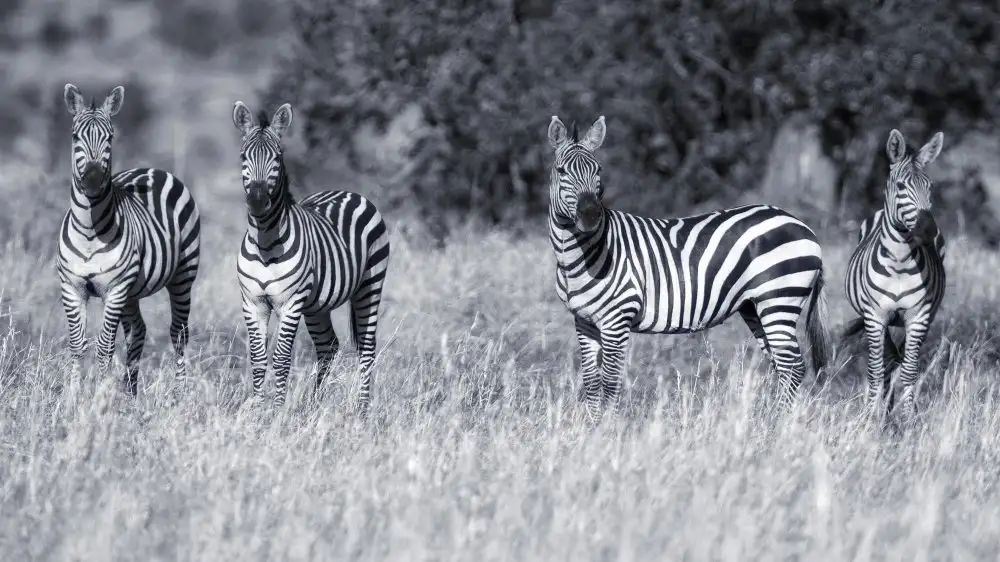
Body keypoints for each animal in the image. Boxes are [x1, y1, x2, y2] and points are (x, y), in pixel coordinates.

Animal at [58, 83, 201, 395]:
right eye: (75, 136)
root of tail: (153, 169)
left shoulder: (115, 290)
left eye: (110, 137)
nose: (93, 177)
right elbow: (77, 346)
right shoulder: (72, 288)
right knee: (139, 331)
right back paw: (130, 392)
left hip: (182, 276)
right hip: (132, 292)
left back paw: (179, 395)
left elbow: (104, 348)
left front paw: (96, 396)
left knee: (179, 333)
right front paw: (72, 397)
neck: (89, 231)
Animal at [232, 101, 391, 412]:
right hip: (318, 306)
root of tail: (348, 192)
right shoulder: (252, 302)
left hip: (370, 285)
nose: (257, 201)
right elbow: (258, 359)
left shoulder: (291, 303)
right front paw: (256, 409)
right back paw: (315, 405)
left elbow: (281, 358)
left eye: (278, 158)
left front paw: (276, 411)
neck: (265, 242)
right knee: (328, 346)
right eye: (244, 156)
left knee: (367, 348)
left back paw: (362, 410)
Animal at [546, 115, 831, 423]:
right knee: (783, 365)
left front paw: (608, 427)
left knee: (793, 365)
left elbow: (609, 381)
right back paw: (772, 421)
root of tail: (801, 225)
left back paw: (777, 424)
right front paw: (592, 426)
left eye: (598, 170)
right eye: (561, 171)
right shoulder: (584, 321)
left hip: (779, 299)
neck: (580, 256)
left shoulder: (617, 318)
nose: (590, 216)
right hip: (755, 307)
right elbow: (590, 380)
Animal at [843, 129, 945, 421]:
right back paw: (884, 413)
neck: (900, 262)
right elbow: (875, 371)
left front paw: (909, 419)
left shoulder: (919, 316)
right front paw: (869, 419)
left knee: (899, 360)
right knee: (887, 361)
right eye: (901, 186)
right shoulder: (875, 316)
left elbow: (910, 371)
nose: (928, 230)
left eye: (930, 187)